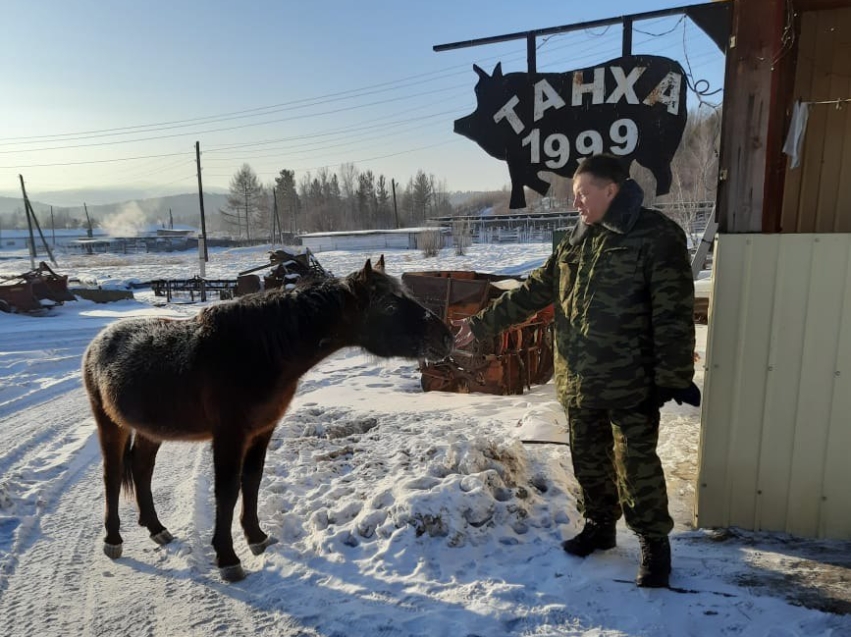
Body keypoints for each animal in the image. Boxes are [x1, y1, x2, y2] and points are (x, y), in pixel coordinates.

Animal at [81, 256, 452, 580]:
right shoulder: (230, 435)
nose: (446, 337)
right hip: (110, 425)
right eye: (389, 306)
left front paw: (256, 537)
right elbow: (227, 490)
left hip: (150, 430)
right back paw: (113, 540)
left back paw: (157, 529)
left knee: (141, 470)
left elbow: (252, 481)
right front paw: (227, 558)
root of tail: (97, 344)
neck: (259, 352)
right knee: (112, 476)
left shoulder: (262, 431)